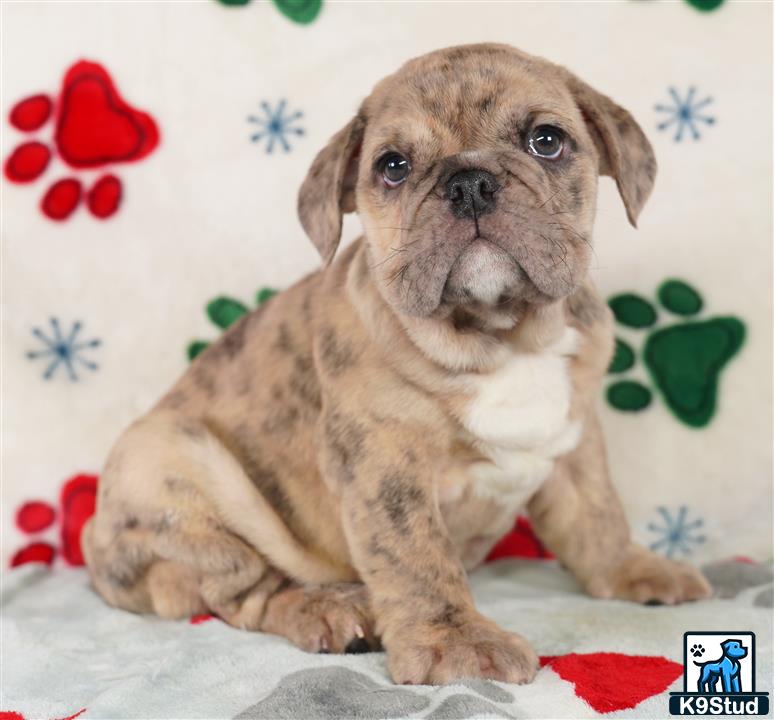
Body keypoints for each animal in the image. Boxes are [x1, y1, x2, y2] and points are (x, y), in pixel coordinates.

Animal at [82, 45, 712, 688]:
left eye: (547, 140)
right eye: (393, 166)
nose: (469, 183)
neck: (501, 338)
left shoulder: (576, 438)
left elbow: (597, 513)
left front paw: (632, 567)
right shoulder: (386, 466)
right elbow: (417, 556)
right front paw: (456, 642)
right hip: (175, 463)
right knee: (244, 590)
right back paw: (329, 607)